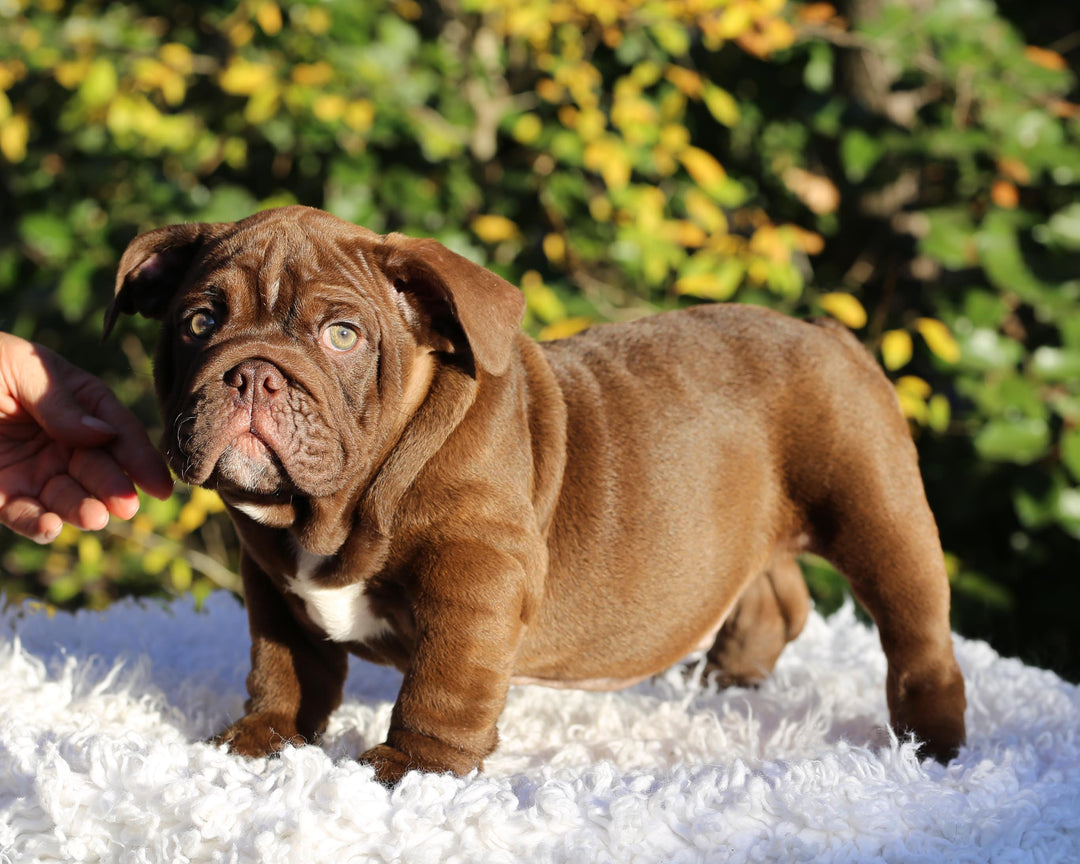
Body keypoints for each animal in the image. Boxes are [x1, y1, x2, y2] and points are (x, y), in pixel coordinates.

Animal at [109, 204, 967, 781]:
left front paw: (413, 767)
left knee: (917, 637)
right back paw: (727, 675)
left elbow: (445, 682)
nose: (253, 371)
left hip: (876, 513)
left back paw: (932, 744)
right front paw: (263, 738)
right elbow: (286, 668)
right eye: (197, 322)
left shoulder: (476, 577)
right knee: (774, 591)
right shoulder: (273, 586)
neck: (330, 511)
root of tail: (830, 334)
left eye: (341, 335)